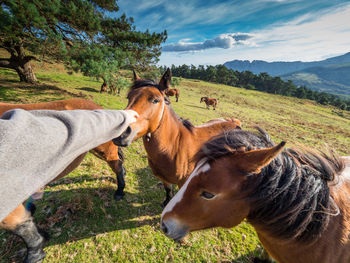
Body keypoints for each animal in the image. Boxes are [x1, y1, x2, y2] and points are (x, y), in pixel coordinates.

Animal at [113, 69, 242, 207]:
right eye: (129, 97)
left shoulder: (183, 184)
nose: (120, 131)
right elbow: (168, 191)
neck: (173, 148)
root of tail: (235, 123)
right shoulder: (163, 179)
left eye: (155, 100)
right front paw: (166, 202)